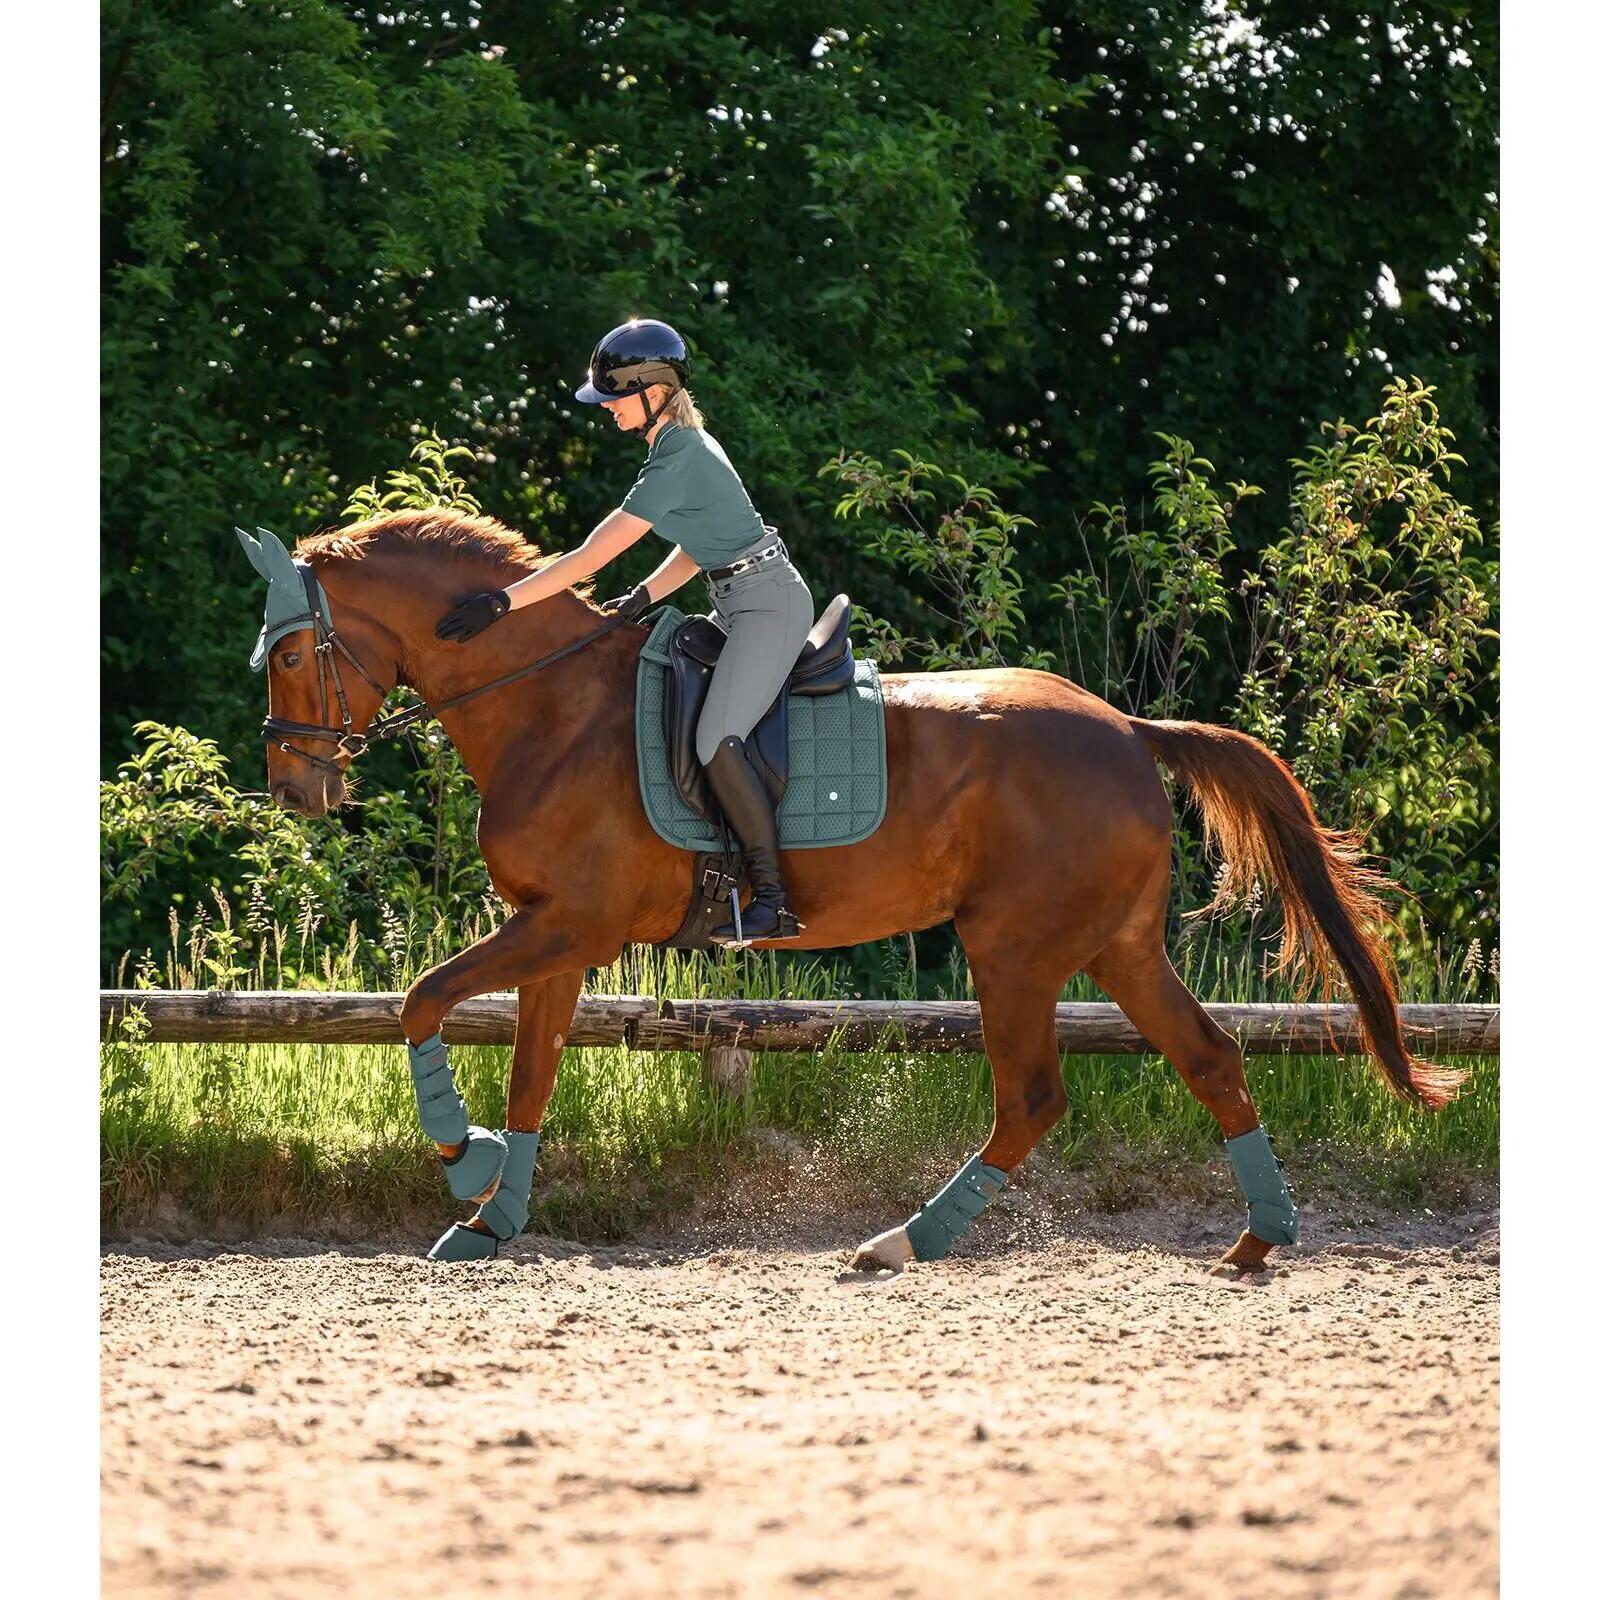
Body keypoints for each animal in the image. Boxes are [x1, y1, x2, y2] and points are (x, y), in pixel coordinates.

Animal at [242, 507, 1463, 1269]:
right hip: (1117, 945)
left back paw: (901, 1244)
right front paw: (492, 1219)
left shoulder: (569, 923)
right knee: (1208, 1057)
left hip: (1014, 949)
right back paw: (1259, 1241)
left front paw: (465, 1165)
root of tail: (1125, 727)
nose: (297, 788)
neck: (549, 706)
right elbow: (530, 1073)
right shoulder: (556, 934)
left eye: (292, 654)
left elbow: (423, 1001)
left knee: (1032, 1097)